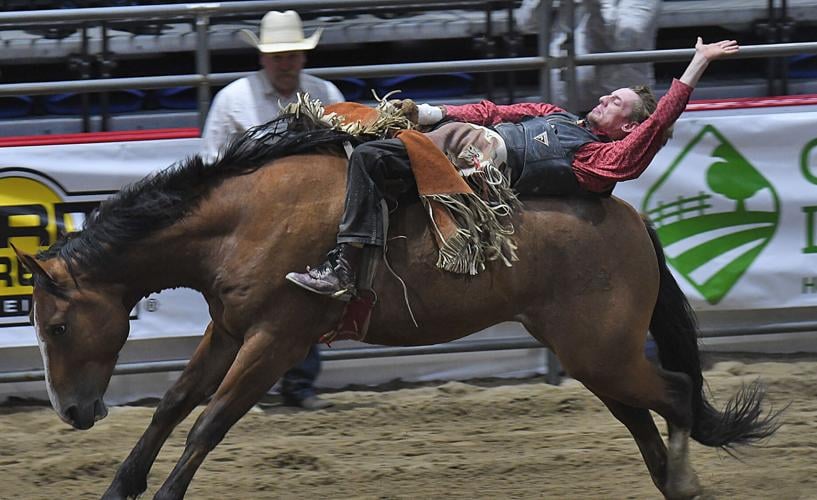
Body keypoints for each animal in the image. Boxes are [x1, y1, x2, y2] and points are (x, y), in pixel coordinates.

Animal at [15, 122, 776, 500]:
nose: (71, 412)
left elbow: (211, 421)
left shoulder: (279, 337)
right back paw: (675, 486)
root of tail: (633, 218)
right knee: (644, 414)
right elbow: (175, 402)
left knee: (674, 394)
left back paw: (683, 479)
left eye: (57, 325)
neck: (245, 218)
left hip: (603, 352)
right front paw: (119, 487)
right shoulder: (228, 327)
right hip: (595, 355)